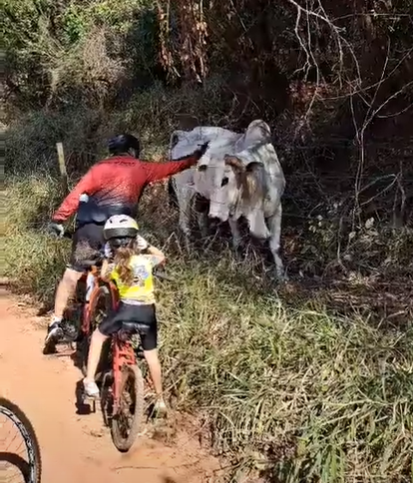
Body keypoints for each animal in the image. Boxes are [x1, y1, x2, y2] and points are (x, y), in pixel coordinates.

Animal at [169, 121, 284, 280]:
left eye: (226, 180)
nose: (215, 216)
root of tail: (184, 134)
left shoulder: (277, 209)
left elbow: (275, 246)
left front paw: (281, 277)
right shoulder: (231, 214)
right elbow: (238, 241)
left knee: (201, 219)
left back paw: (206, 243)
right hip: (184, 192)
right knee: (184, 224)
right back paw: (190, 252)